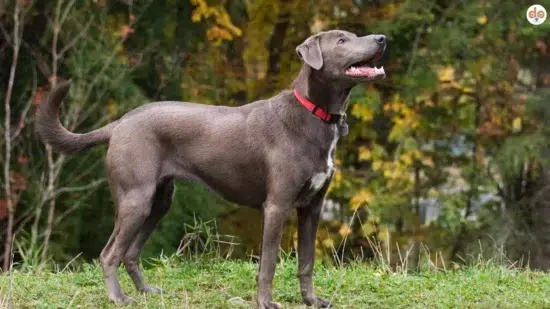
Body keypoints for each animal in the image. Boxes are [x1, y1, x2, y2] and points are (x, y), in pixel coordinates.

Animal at [35, 29, 388, 308]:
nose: (381, 38)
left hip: (159, 201)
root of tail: (119, 123)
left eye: (353, 34)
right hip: (136, 199)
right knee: (109, 254)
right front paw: (265, 302)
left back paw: (147, 292)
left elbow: (307, 262)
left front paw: (312, 301)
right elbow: (269, 263)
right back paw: (119, 298)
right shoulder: (276, 206)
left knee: (130, 253)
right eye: (341, 40)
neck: (313, 114)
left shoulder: (312, 208)